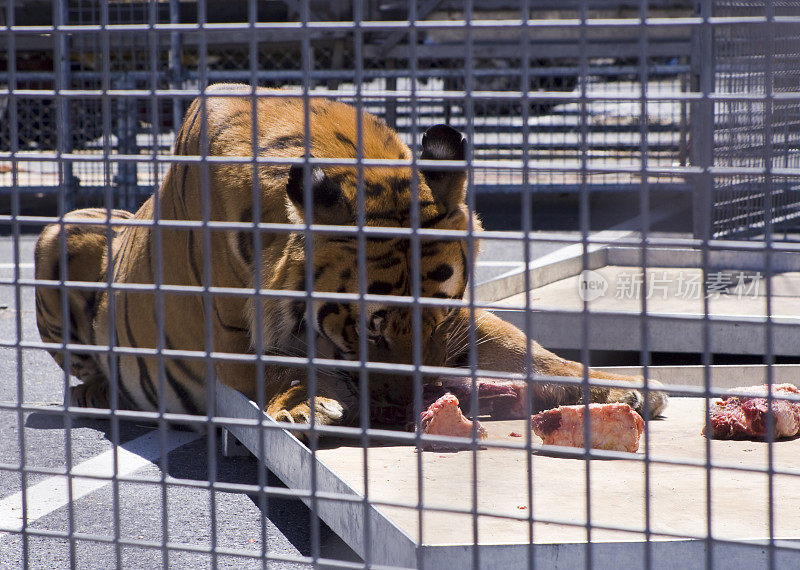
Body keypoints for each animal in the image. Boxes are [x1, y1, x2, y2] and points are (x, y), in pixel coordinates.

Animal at [32, 83, 668, 430]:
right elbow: (282, 368)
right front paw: (306, 406)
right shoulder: (229, 341)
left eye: (436, 317)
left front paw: (622, 387)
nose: (415, 403)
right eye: (370, 328)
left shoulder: (463, 322)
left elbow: (528, 352)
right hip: (61, 233)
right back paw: (96, 393)